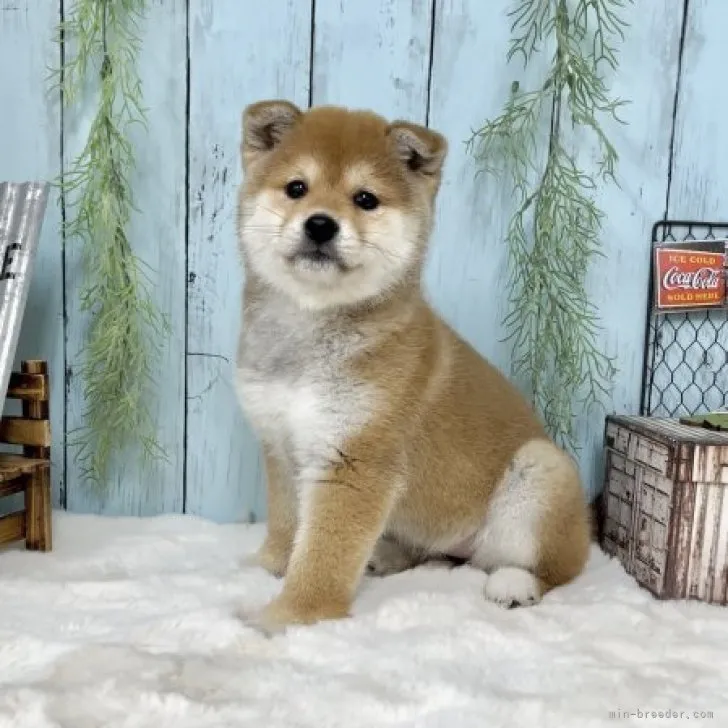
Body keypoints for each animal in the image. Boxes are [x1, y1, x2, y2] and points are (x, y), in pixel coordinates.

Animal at [236, 99, 588, 628]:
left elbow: (323, 555)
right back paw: (386, 555)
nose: (320, 223)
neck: (310, 330)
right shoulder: (281, 444)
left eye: (365, 199)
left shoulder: (355, 460)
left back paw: (515, 583)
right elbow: (287, 523)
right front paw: (270, 566)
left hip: (540, 471)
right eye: (297, 187)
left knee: (555, 568)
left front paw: (292, 615)